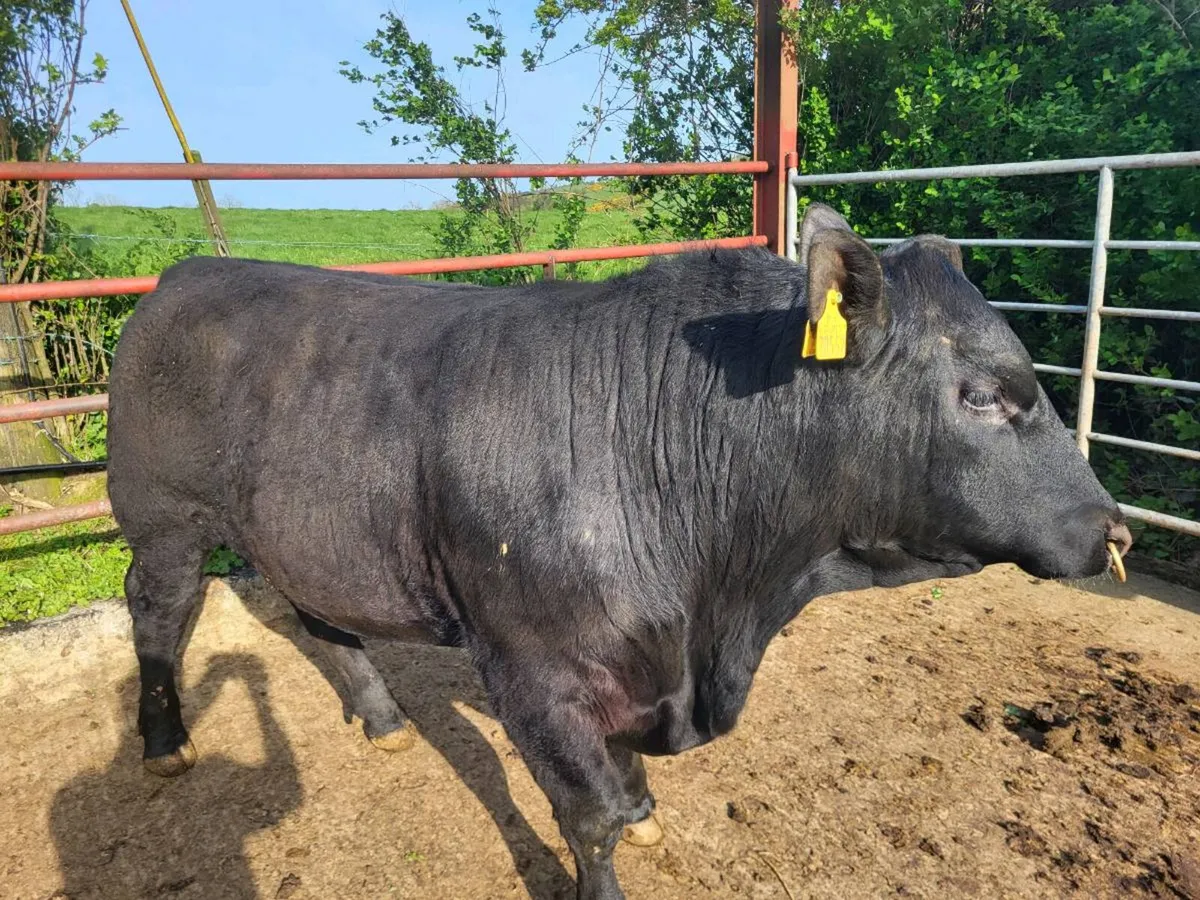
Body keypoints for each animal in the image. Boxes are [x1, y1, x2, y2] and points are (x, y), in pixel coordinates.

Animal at [106, 203, 1131, 900]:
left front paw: (644, 812)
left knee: (319, 614)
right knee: (159, 612)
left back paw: (383, 715)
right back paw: (163, 745)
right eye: (980, 394)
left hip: (309, 531)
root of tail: (184, 276)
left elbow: (621, 786)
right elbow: (585, 812)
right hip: (162, 518)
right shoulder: (530, 669)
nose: (1113, 529)